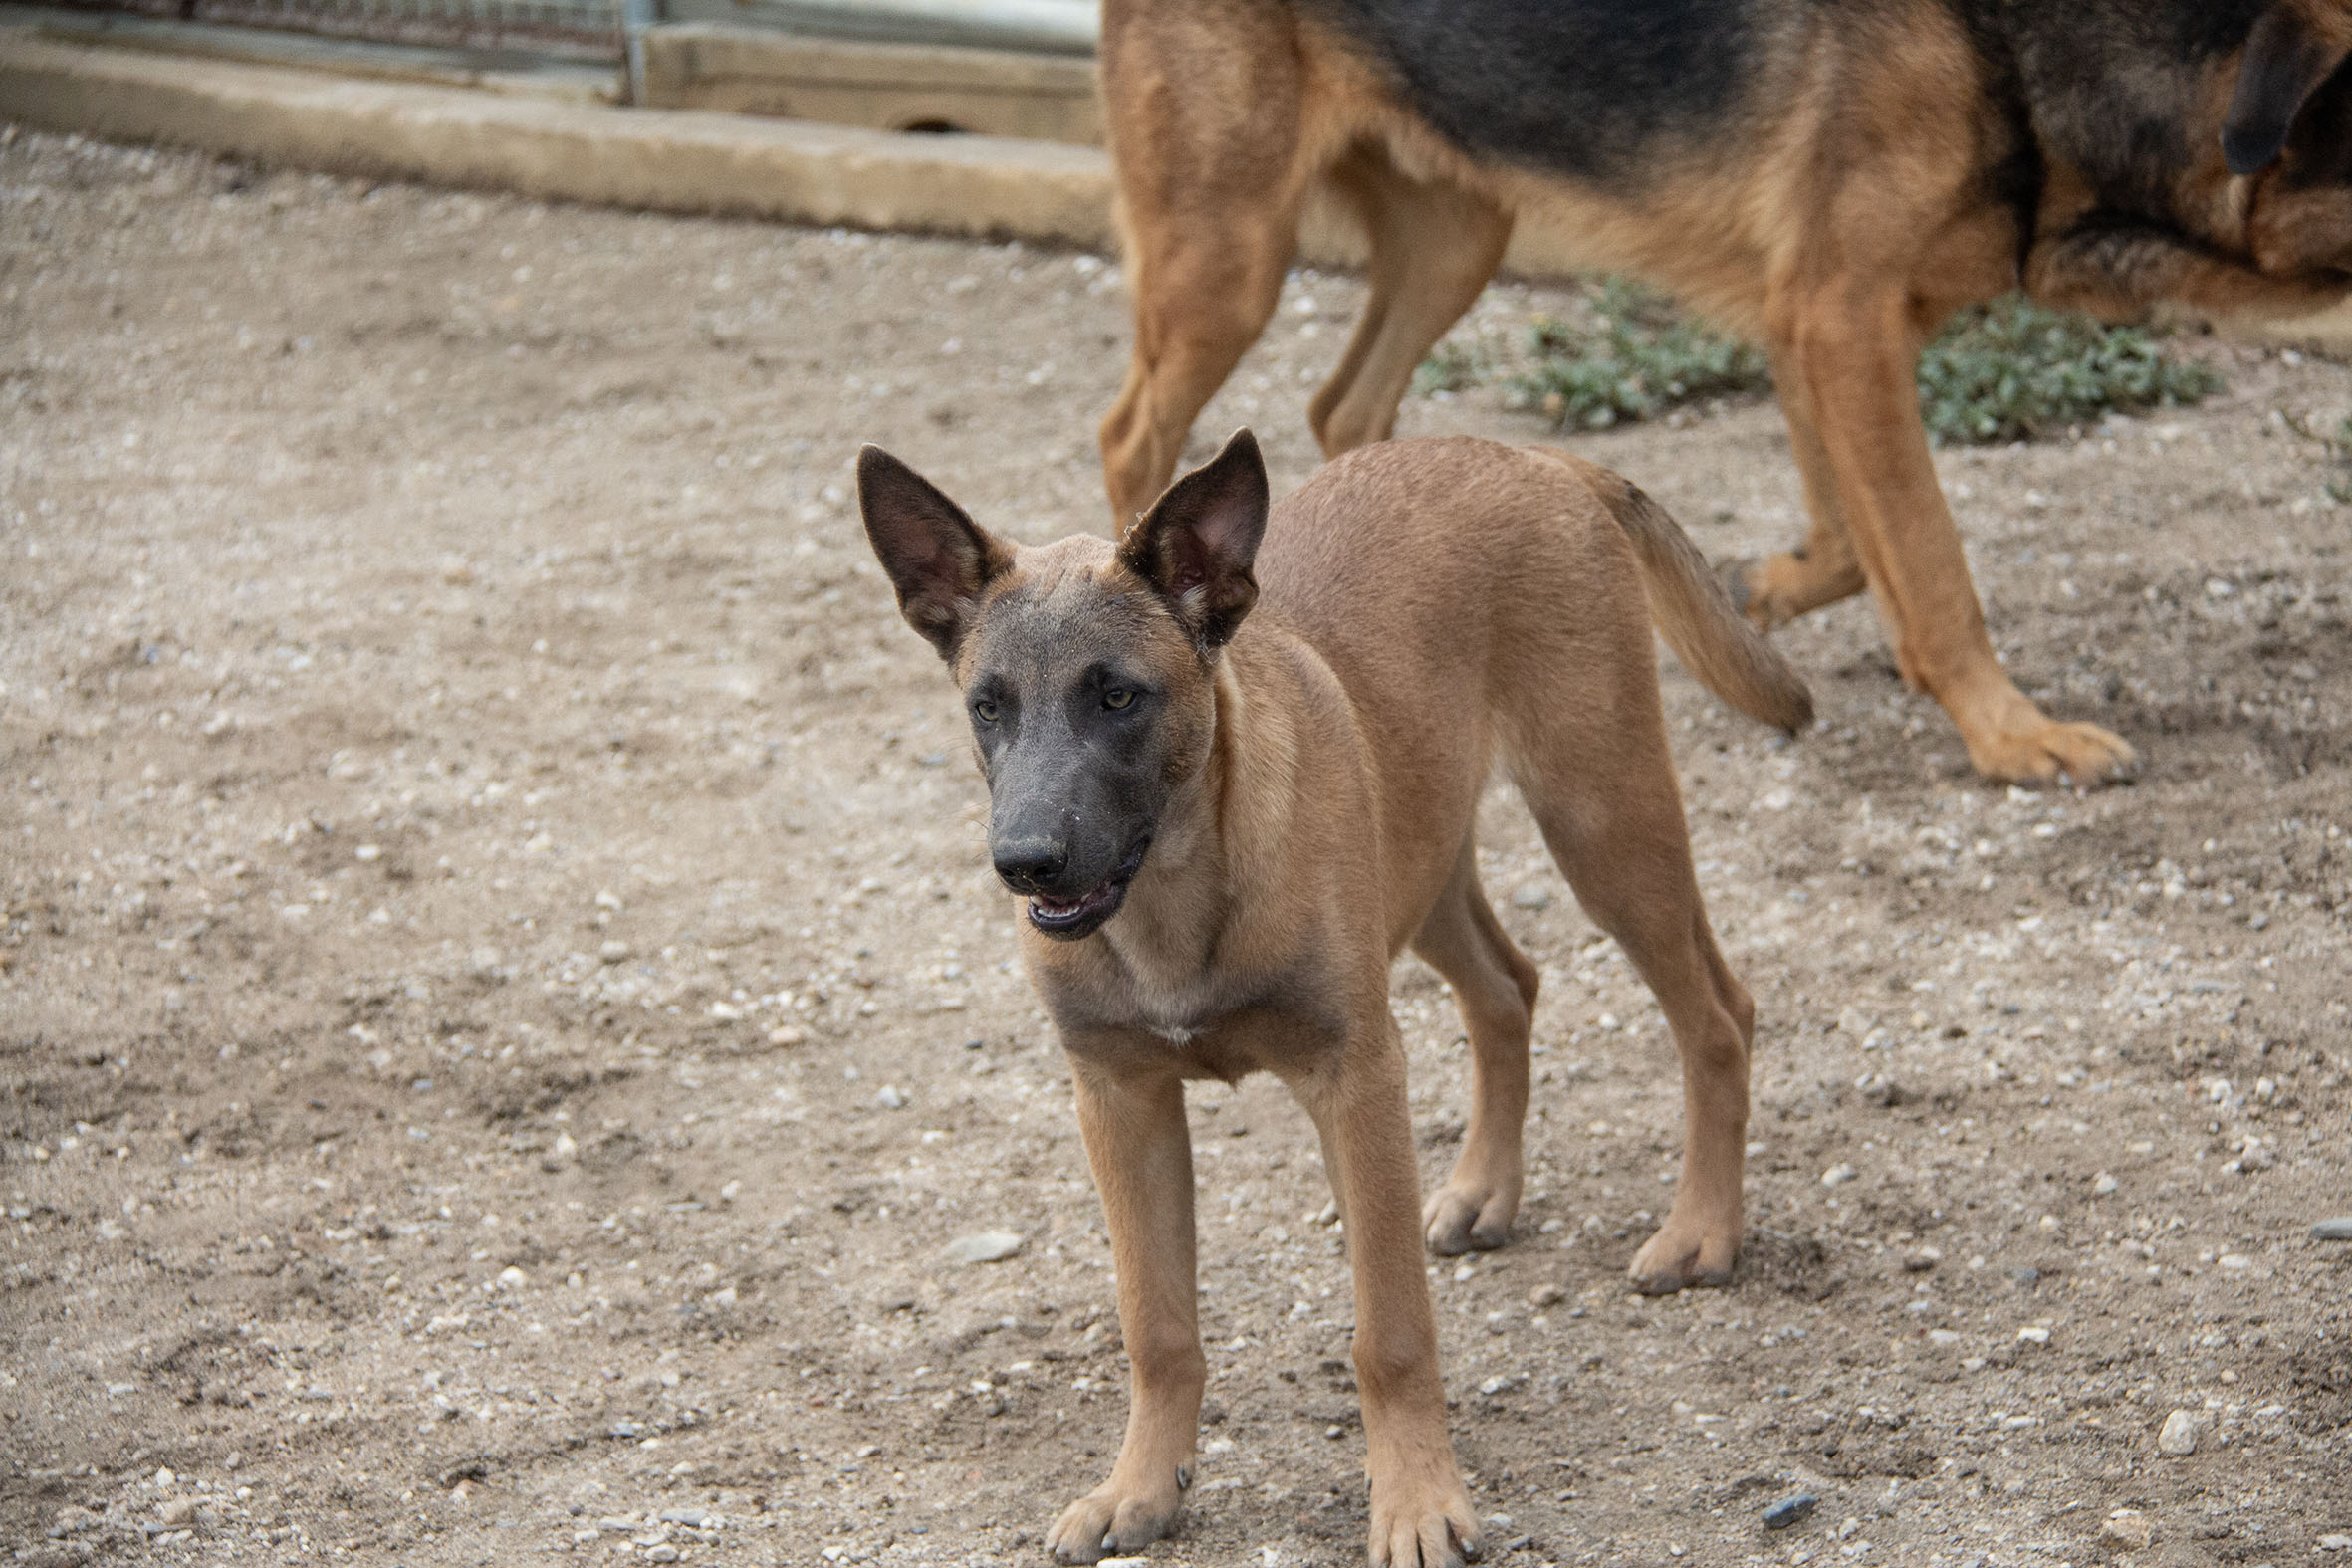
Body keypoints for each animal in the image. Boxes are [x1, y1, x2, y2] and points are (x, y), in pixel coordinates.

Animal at [858, 430, 1811, 1567]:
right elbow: (1156, 1326)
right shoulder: (1121, 1102)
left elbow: (1389, 1330)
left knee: (1718, 1014)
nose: (1025, 862)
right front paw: (1141, 1486)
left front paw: (1415, 1501)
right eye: (987, 704)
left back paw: (1701, 1229)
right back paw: (1484, 1187)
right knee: (1508, 986)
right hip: (1426, 854)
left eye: (1118, 696)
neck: (1177, 893)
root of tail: (1529, 452)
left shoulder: (1355, 1080)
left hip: (1603, 821)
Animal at [1094, 0, 2352, 789]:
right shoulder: (1839, 315)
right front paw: (2010, 734)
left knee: (1344, 412)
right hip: (1228, 261)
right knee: (1132, 432)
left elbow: (1853, 542)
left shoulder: (1820, 329)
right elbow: (1931, 560)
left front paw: (1760, 600)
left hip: (1456, 237)